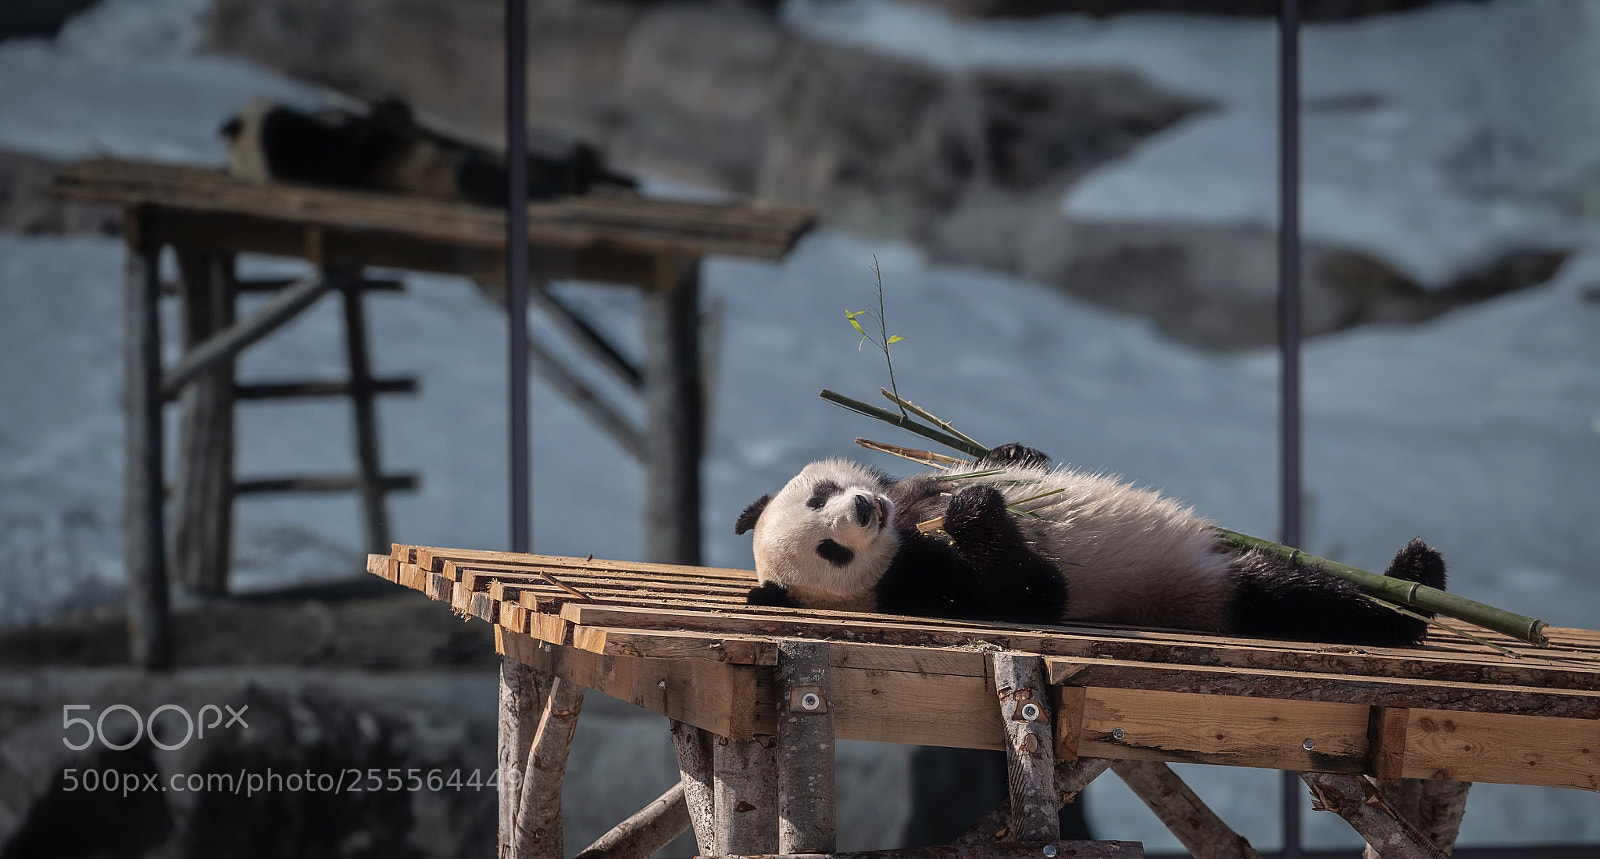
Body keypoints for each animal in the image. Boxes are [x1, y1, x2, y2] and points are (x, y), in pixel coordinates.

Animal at [735, 443, 1447, 646]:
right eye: (829, 550)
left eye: (821, 494)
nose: (861, 510)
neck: (902, 539)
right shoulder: (924, 587)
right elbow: (1034, 593)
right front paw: (974, 510)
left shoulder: (910, 493)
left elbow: (967, 467)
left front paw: (1010, 457)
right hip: (1194, 587)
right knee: (1291, 595)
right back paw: (1410, 603)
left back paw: (1414, 568)